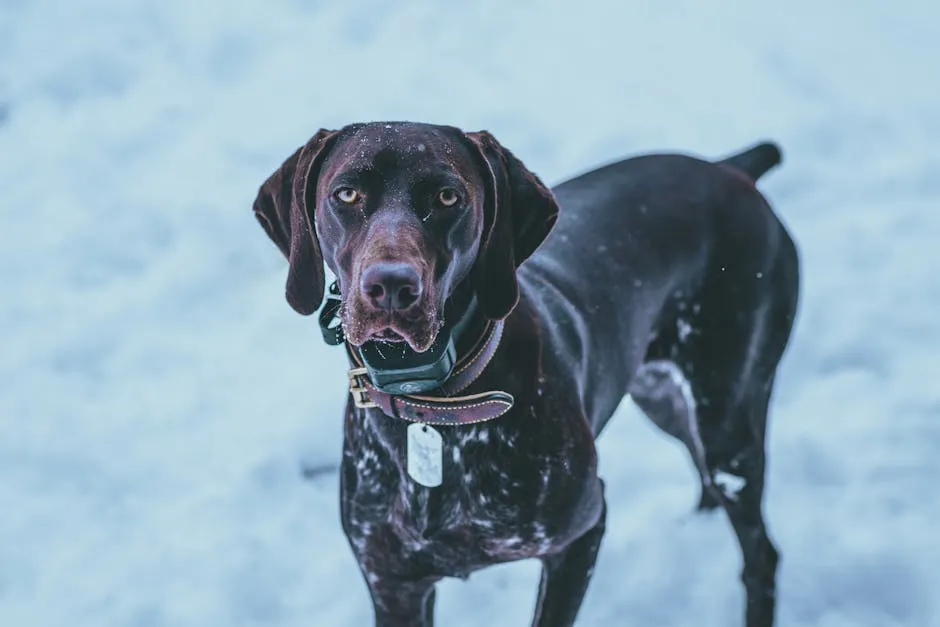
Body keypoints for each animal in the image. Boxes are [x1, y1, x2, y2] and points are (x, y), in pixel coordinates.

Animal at [252, 122, 800, 627]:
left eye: (448, 196)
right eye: (346, 194)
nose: (390, 287)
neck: (436, 404)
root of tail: (728, 170)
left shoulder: (580, 535)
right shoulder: (394, 584)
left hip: (727, 418)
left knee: (761, 552)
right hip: (661, 395)